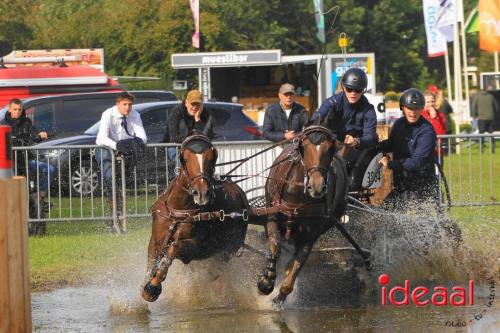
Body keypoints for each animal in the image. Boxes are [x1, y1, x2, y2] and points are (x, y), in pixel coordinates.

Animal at [143, 134, 248, 300]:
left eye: (211, 158)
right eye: (185, 159)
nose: (202, 193)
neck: (179, 212)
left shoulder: (198, 246)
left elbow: (174, 248)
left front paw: (153, 286)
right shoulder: (156, 240)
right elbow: (151, 263)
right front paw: (147, 287)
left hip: (226, 249)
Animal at [256, 124, 350, 304]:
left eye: (330, 149)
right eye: (304, 147)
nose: (317, 187)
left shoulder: (310, 235)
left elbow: (298, 263)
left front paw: (281, 294)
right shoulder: (271, 215)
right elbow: (275, 244)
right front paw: (267, 280)